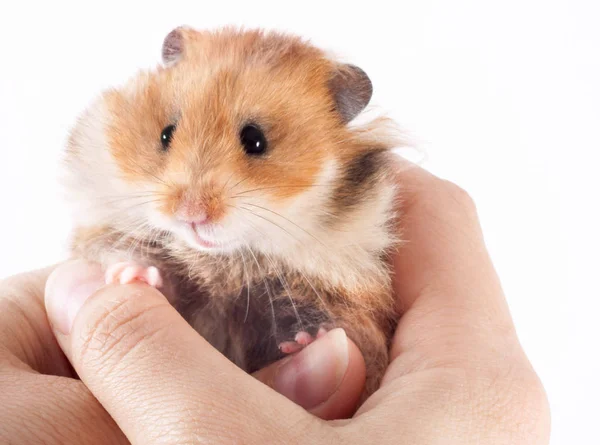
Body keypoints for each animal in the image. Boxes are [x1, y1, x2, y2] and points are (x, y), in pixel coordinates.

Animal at [63, 25, 400, 398]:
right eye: (166, 134)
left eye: (256, 141)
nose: (191, 213)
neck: (223, 262)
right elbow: (123, 254)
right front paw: (135, 275)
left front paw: (309, 342)